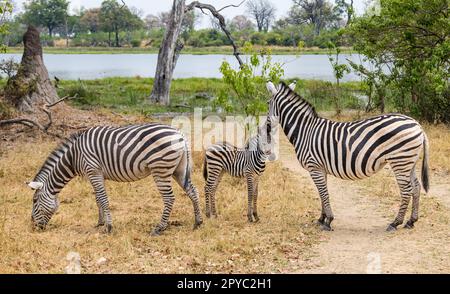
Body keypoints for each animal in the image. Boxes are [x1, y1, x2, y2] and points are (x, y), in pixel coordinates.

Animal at [27, 123, 203, 235]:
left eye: (34, 201)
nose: (33, 227)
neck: (73, 157)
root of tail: (180, 134)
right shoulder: (96, 174)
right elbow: (98, 198)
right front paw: (100, 223)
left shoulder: (93, 171)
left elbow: (103, 200)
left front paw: (109, 227)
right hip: (178, 170)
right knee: (193, 191)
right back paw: (198, 223)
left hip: (161, 169)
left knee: (169, 198)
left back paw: (159, 228)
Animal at [266, 81, 430, 233]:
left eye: (267, 103)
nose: (266, 129)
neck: (304, 131)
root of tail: (417, 125)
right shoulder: (320, 168)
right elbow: (322, 194)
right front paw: (321, 218)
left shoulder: (314, 167)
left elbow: (323, 193)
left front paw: (328, 221)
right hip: (409, 162)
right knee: (416, 187)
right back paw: (411, 221)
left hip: (400, 161)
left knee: (406, 190)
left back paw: (395, 222)